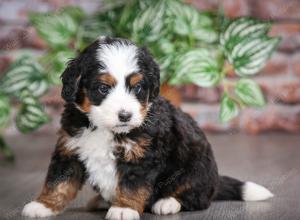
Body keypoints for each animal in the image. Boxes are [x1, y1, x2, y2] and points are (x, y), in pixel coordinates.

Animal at [21, 37, 274, 219]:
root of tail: (215, 182)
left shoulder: (142, 155)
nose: (125, 115)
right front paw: (43, 205)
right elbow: (58, 182)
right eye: (103, 88)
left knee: (195, 198)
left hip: (195, 168)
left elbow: (132, 184)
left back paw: (168, 203)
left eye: (138, 87)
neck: (104, 127)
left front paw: (124, 209)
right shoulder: (70, 148)